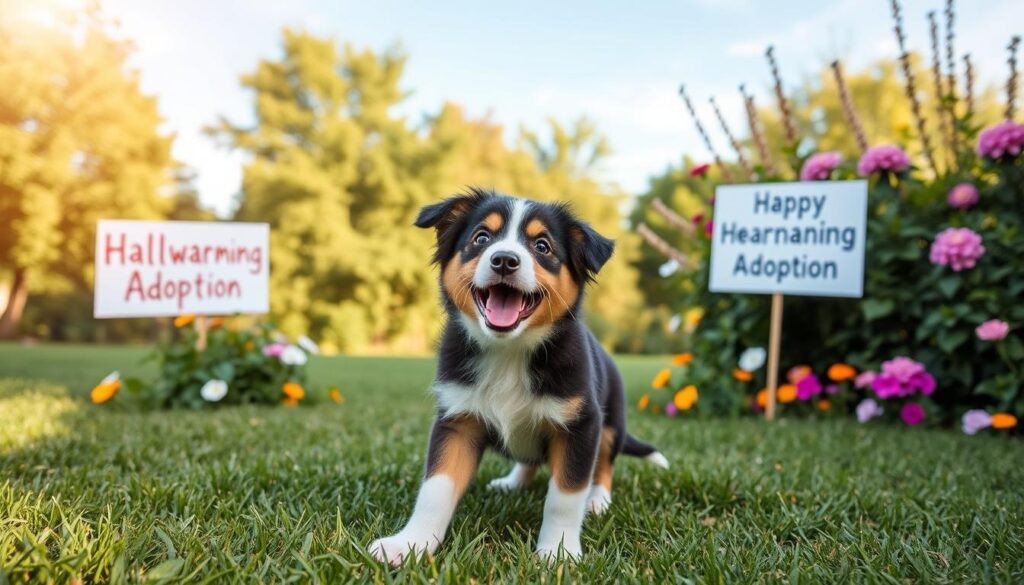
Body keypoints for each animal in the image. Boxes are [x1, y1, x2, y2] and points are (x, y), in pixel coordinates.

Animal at [372, 189, 667, 565]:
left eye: (542, 246)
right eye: (481, 238)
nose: (504, 260)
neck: (509, 352)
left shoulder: (581, 424)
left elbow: (564, 496)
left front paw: (558, 552)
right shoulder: (457, 419)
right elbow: (435, 488)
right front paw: (409, 544)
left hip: (612, 418)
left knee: (603, 463)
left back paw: (598, 499)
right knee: (530, 459)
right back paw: (513, 482)